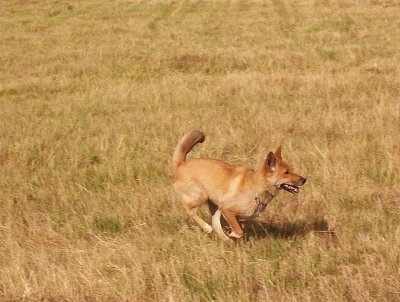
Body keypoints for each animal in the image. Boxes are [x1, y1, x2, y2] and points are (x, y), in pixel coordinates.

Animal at [172, 130, 306, 243]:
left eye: (292, 170)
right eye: (286, 173)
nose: (304, 180)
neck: (256, 187)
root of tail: (180, 164)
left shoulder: (239, 216)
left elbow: (240, 227)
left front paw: (231, 235)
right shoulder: (227, 209)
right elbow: (239, 231)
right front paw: (232, 233)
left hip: (215, 205)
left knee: (215, 224)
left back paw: (226, 240)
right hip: (202, 196)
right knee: (191, 212)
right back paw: (207, 227)